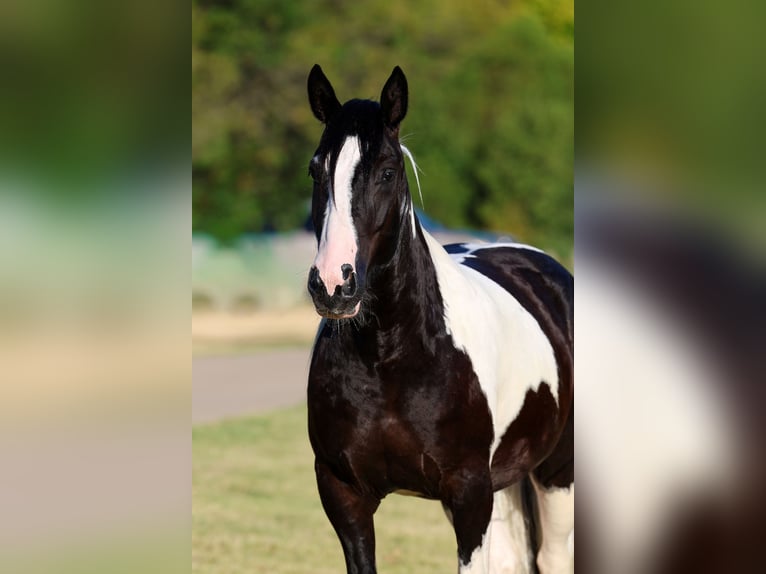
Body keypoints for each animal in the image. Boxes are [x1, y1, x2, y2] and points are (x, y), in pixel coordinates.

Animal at [305, 64, 573, 574]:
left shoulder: (470, 494)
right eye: (316, 168)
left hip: (555, 473)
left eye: (387, 172)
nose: (333, 284)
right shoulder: (343, 495)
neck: (390, 355)